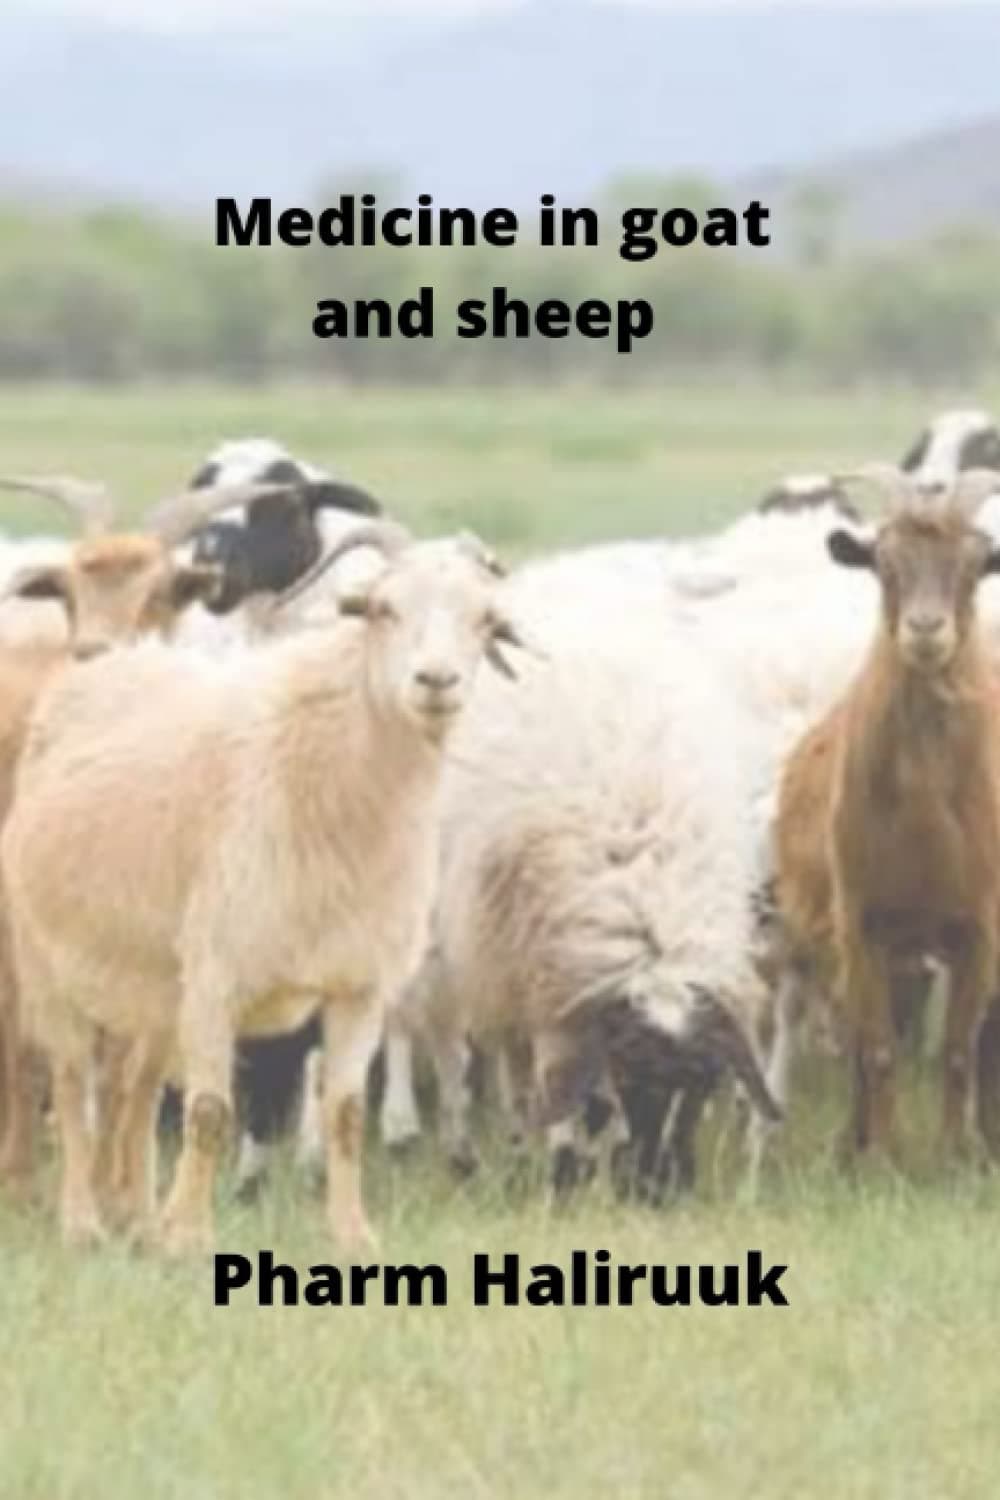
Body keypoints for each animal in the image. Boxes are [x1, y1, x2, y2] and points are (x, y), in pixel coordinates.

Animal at [1, 521, 528, 1252]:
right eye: (384, 609)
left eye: (484, 620)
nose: (437, 680)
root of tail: (110, 659)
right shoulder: (217, 974)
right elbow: (209, 1111)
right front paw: (190, 1239)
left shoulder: (358, 985)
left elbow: (344, 1114)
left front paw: (352, 1236)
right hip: (47, 961)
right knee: (72, 1079)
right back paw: (82, 1224)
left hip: (157, 987)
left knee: (134, 1091)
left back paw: (137, 1219)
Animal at [774, 465, 1000, 1162]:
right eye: (883, 563)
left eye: (974, 566)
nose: (926, 630)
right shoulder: (862, 923)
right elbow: (875, 1051)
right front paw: (882, 1157)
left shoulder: (980, 927)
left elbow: (958, 1051)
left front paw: (958, 1157)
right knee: (859, 1047)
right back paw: (851, 1144)